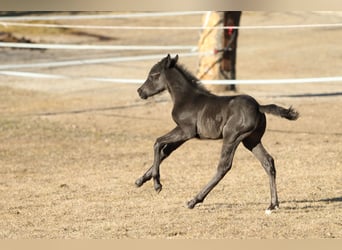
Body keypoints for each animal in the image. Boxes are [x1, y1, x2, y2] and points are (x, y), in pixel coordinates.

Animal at [135, 54, 298, 213]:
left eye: (153, 75)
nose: (140, 91)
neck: (186, 98)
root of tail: (259, 107)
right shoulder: (183, 134)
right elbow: (165, 151)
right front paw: (140, 180)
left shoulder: (186, 130)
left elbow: (158, 142)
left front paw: (157, 184)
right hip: (251, 140)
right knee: (268, 161)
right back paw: (272, 204)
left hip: (232, 136)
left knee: (224, 166)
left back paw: (194, 201)